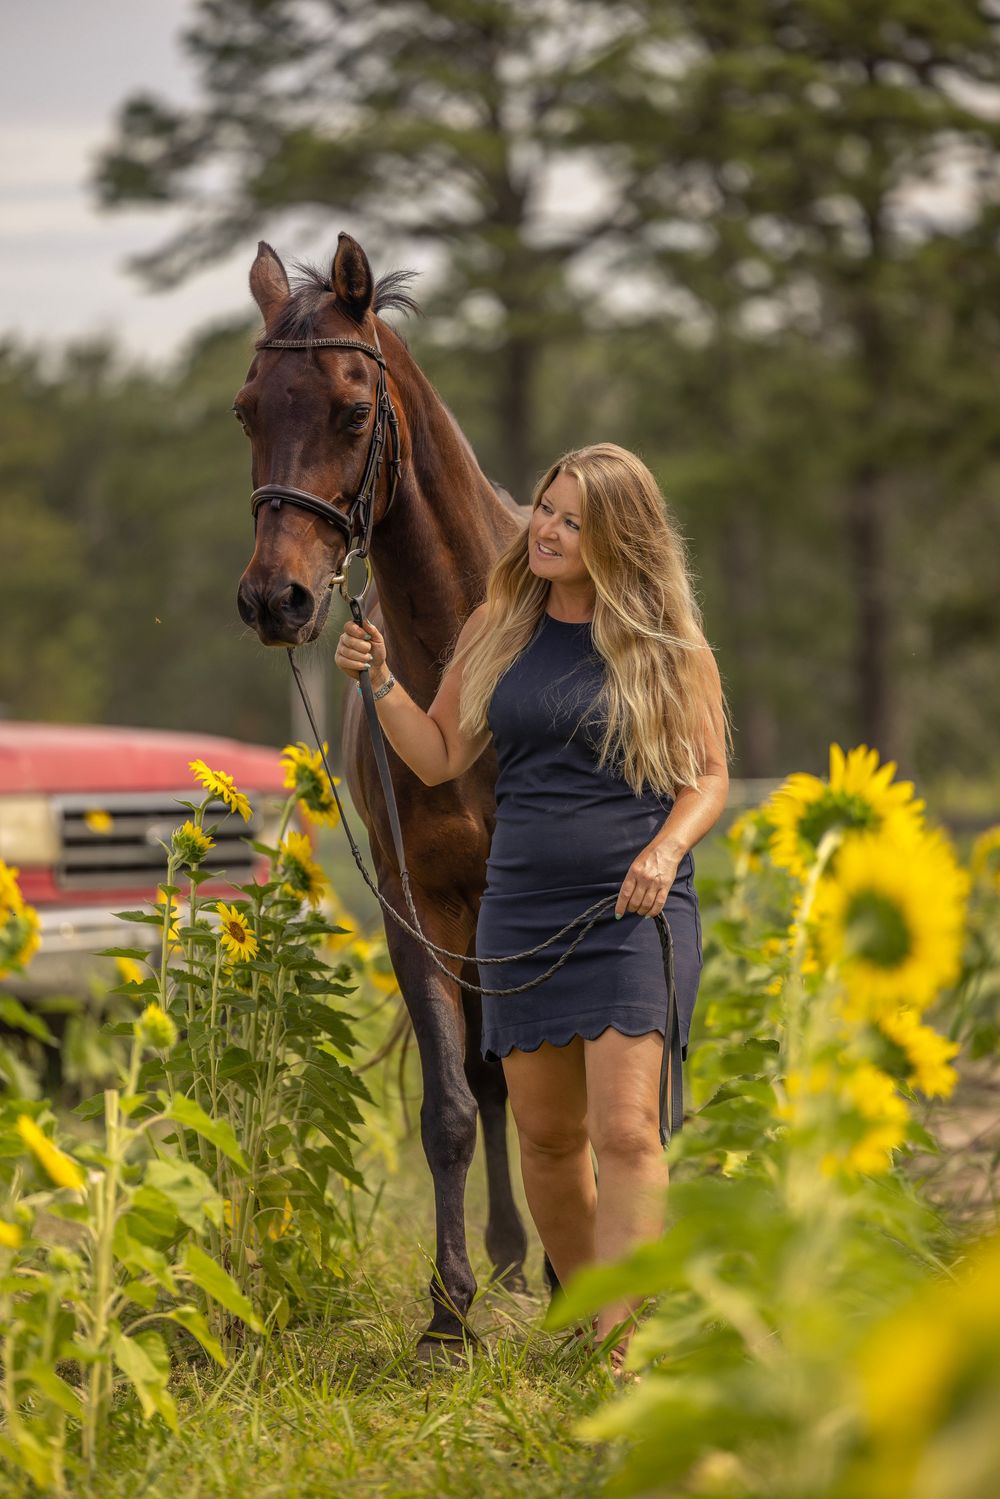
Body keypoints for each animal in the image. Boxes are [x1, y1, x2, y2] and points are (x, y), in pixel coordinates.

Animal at [235, 231, 536, 1356]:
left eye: (353, 411)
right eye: (248, 409)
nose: (274, 599)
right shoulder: (417, 904)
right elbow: (449, 1103)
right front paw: (449, 1313)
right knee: (488, 1076)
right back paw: (508, 1259)